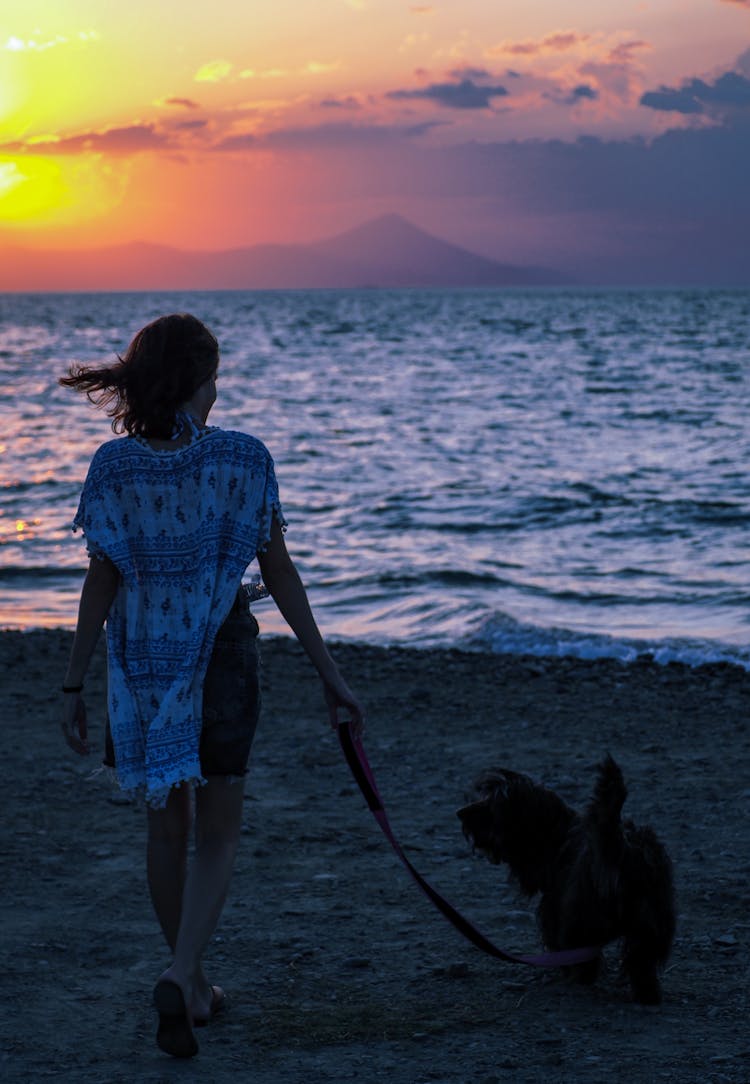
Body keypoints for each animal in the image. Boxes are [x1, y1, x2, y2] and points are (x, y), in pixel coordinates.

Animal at [457, 754, 671, 997]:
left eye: (494, 805)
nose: (460, 812)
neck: (557, 835)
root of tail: (619, 847)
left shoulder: (554, 910)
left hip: (581, 923)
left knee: (585, 961)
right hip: (650, 926)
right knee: (641, 961)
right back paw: (647, 993)